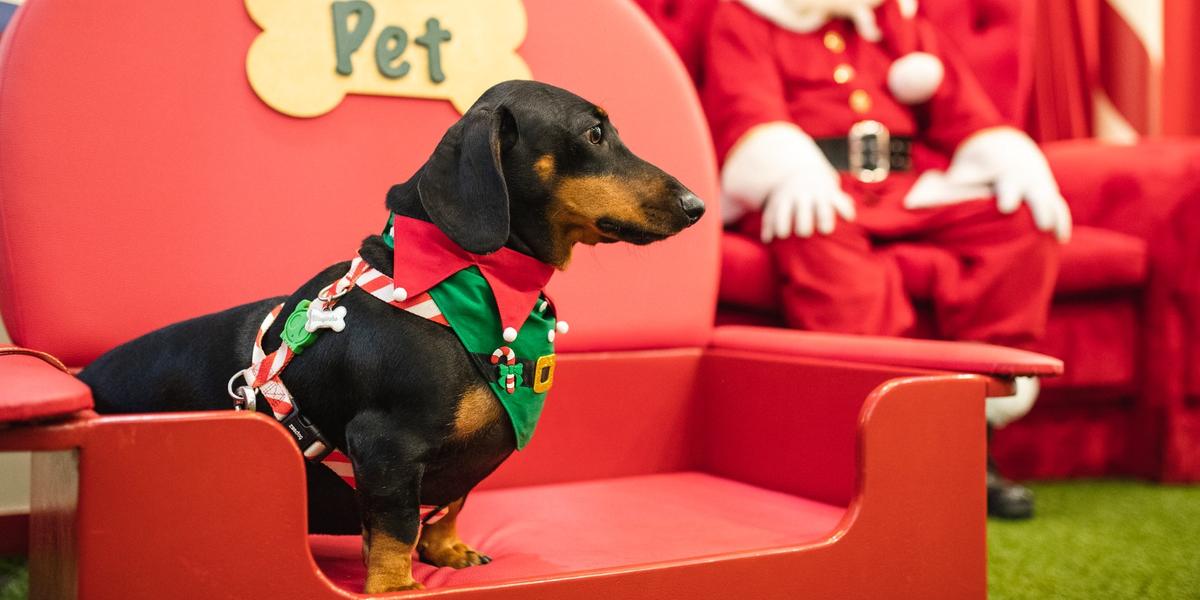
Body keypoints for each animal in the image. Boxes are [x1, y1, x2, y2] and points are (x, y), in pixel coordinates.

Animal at [79, 79, 700, 590]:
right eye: (593, 133)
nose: (696, 206)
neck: (471, 281)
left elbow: (454, 501)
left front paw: (447, 550)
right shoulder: (386, 445)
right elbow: (398, 527)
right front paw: (398, 583)